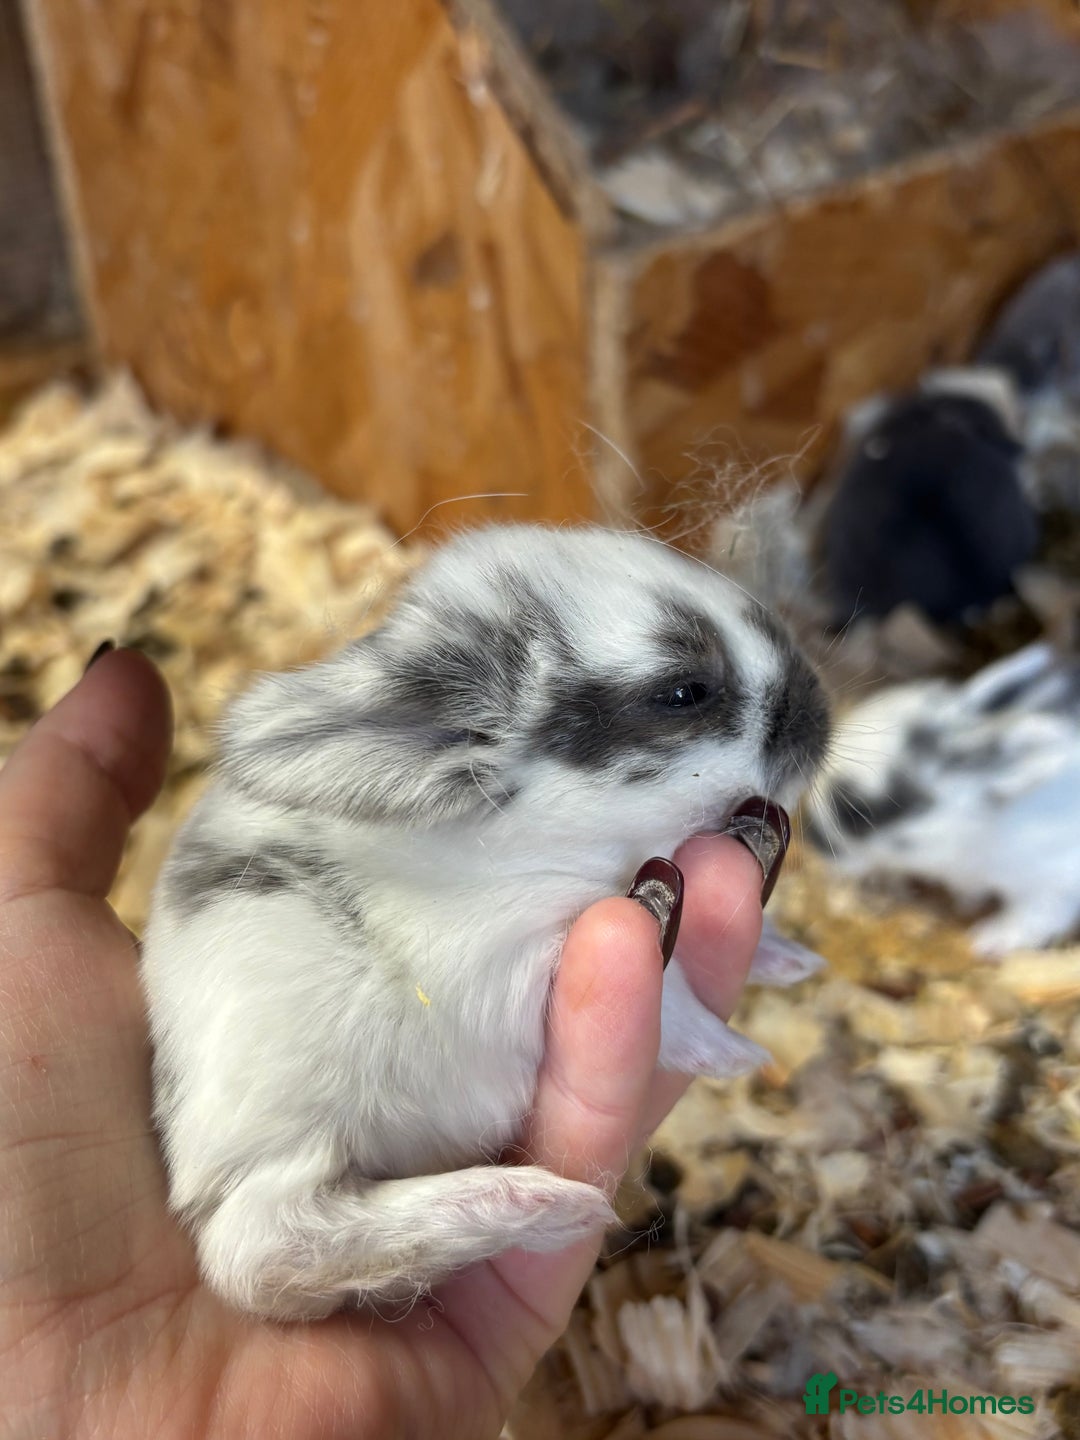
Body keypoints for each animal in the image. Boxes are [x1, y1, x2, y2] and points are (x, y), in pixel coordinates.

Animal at [139, 523, 831, 1321]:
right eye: (683, 693)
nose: (822, 709)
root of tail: (190, 1164)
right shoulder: (523, 955)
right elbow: (672, 995)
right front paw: (735, 1053)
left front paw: (791, 961)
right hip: (287, 1130)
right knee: (259, 1252)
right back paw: (539, 1203)